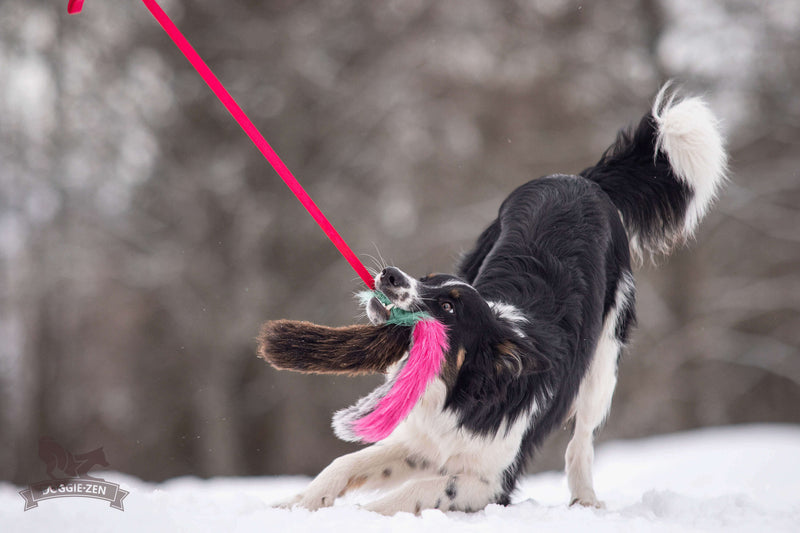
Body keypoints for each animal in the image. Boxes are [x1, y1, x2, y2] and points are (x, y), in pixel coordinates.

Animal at [278, 86, 728, 512]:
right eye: (426, 280)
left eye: (448, 307)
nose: (390, 275)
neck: (457, 389)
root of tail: (582, 180)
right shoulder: (423, 444)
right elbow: (346, 463)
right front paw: (297, 502)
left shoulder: (491, 481)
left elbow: (411, 494)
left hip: (604, 361)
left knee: (581, 439)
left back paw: (585, 499)